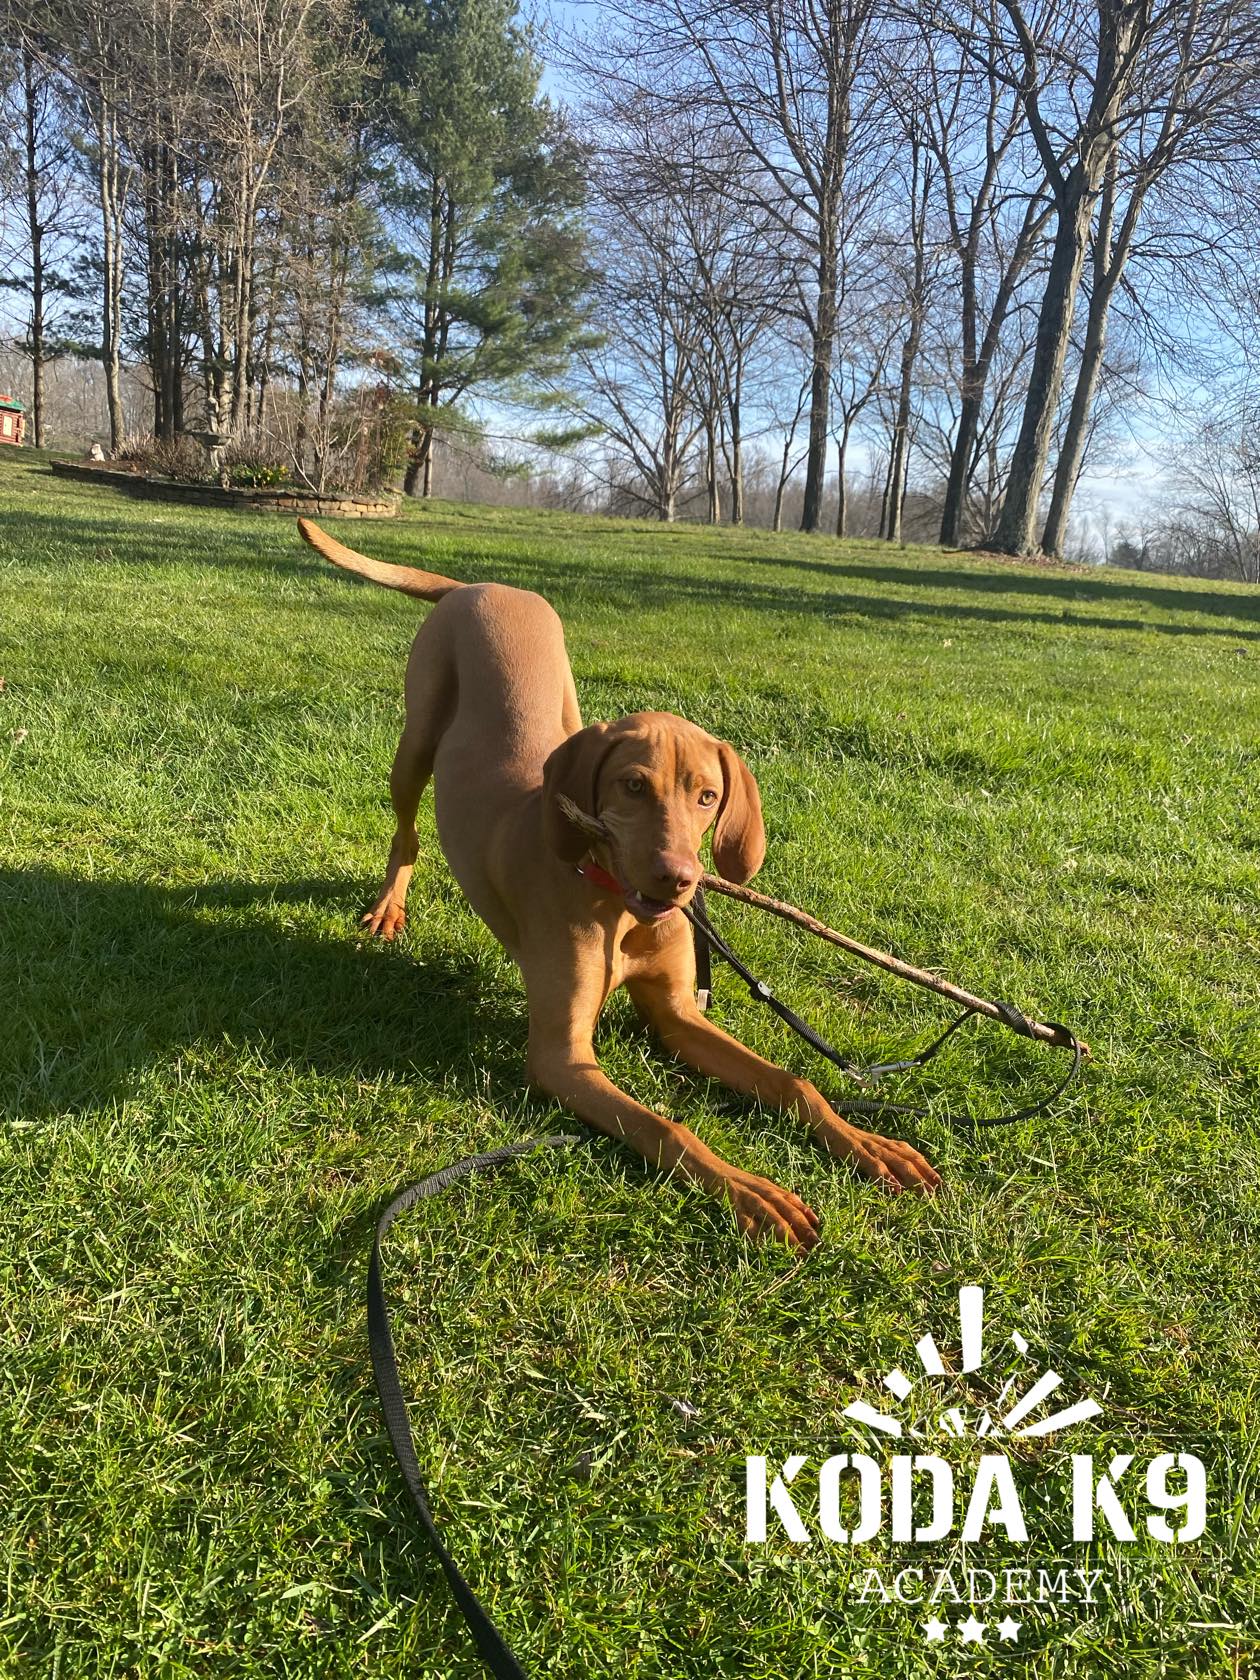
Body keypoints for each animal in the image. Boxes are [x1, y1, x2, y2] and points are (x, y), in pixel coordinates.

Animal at [300, 517, 940, 1256]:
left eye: (707, 797)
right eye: (634, 787)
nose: (678, 878)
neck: (618, 906)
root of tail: (479, 585)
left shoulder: (679, 1013)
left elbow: (793, 1080)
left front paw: (868, 1143)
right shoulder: (561, 1059)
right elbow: (667, 1124)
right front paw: (754, 1193)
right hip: (415, 743)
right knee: (405, 832)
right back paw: (387, 908)